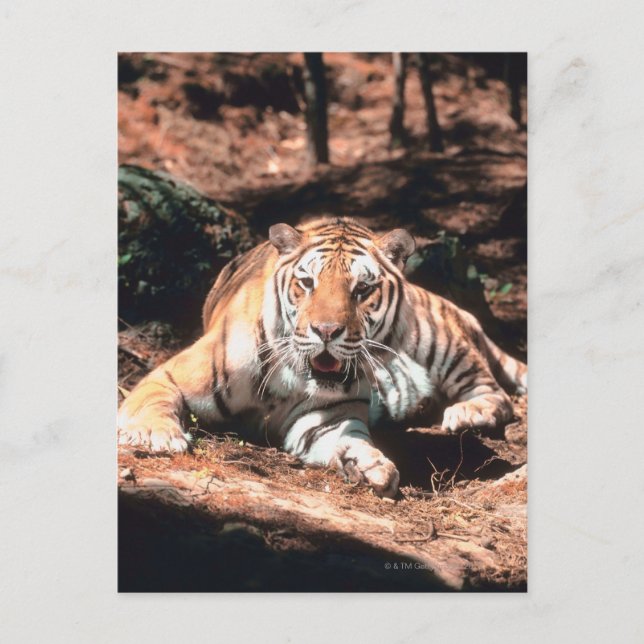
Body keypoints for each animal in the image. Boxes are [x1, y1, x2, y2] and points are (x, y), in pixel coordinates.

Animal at [118, 217, 527, 497]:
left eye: (362, 289)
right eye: (307, 283)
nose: (327, 331)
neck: (290, 375)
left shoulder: (328, 416)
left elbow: (352, 436)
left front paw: (370, 465)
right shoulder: (171, 374)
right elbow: (153, 400)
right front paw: (156, 436)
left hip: (436, 340)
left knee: (495, 393)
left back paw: (466, 413)